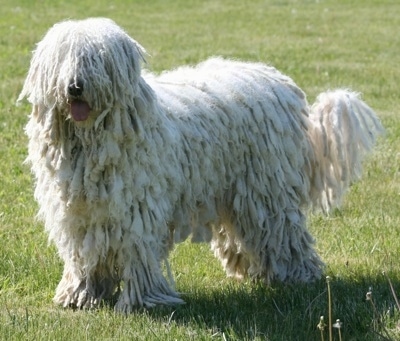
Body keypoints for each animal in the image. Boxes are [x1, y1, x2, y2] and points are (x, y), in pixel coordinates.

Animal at [19, 17, 384, 310]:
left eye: (97, 58)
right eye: (62, 59)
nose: (75, 87)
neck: (93, 142)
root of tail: (281, 85)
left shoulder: (136, 209)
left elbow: (136, 251)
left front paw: (141, 301)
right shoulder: (79, 215)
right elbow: (84, 255)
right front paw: (81, 295)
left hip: (267, 187)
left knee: (283, 232)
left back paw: (298, 275)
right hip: (236, 191)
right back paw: (252, 270)